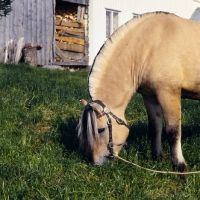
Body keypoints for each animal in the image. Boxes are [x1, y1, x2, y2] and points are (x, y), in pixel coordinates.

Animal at [77, 11, 200, 174]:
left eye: (101, 129)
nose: (97, 163)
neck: (151, 43)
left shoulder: (169, 93)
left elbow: (173, 131)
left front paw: (180, 166)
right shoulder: (150, 96)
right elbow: (155, 127)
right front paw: (157, 157)